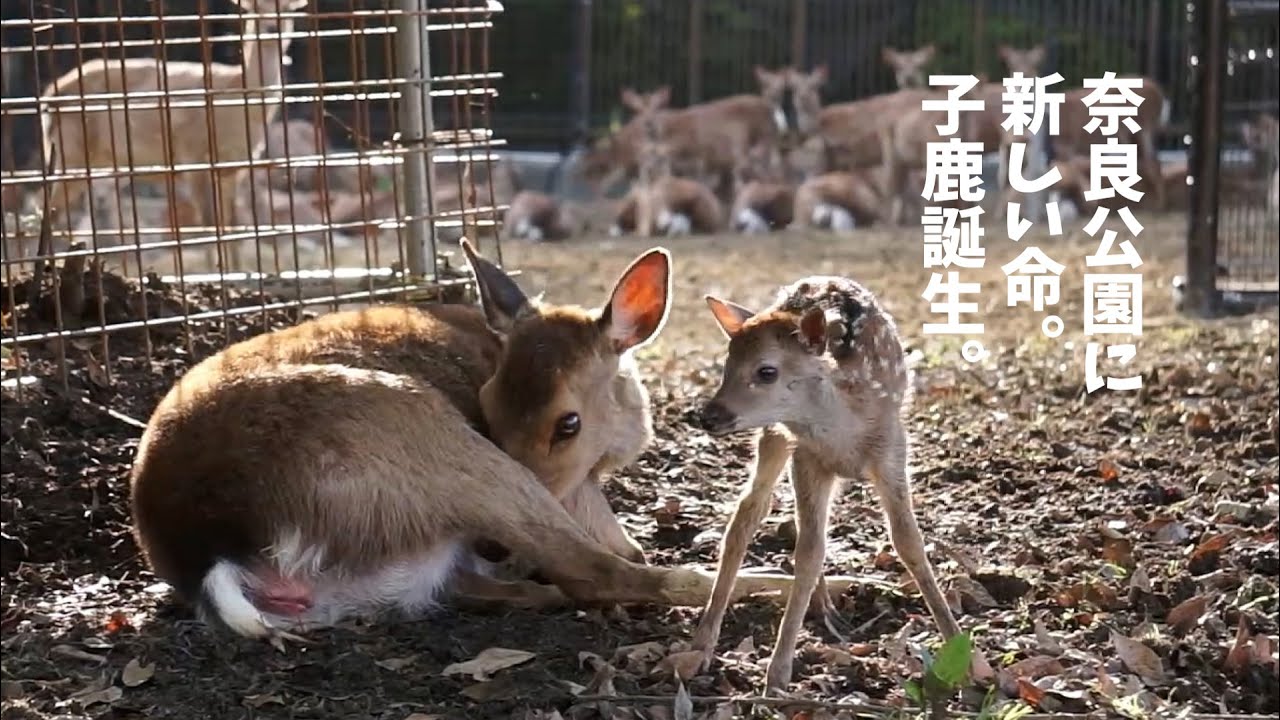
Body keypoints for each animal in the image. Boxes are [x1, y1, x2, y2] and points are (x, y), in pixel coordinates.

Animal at [39, 0, 308, 273]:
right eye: (254, 8)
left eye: (288, 8)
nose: (272, 27)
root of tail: (49, 96)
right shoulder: (193, 154)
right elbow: (209, 222)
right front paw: (219, 273)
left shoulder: (235, 167)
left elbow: (232, 224)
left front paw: (242, 271)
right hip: (73, 148)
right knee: (50, 207)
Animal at [128, 238, 732, 645]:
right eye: (486, 407)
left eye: (567, 424)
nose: (493, 548)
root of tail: (208, 553)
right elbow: (620, 555)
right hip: (423, 430)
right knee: (601, 575)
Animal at [690, 276, 994, 695]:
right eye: (726, 366)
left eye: (767, 371)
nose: (708, 416)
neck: (844, 432)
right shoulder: (807, 456)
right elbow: (809, 551)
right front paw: (777, 676)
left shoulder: (892, 449)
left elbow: (908, 543)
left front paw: (965, 659)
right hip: (775, 434)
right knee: (750, 512)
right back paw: (704, 642)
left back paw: (823, 608)